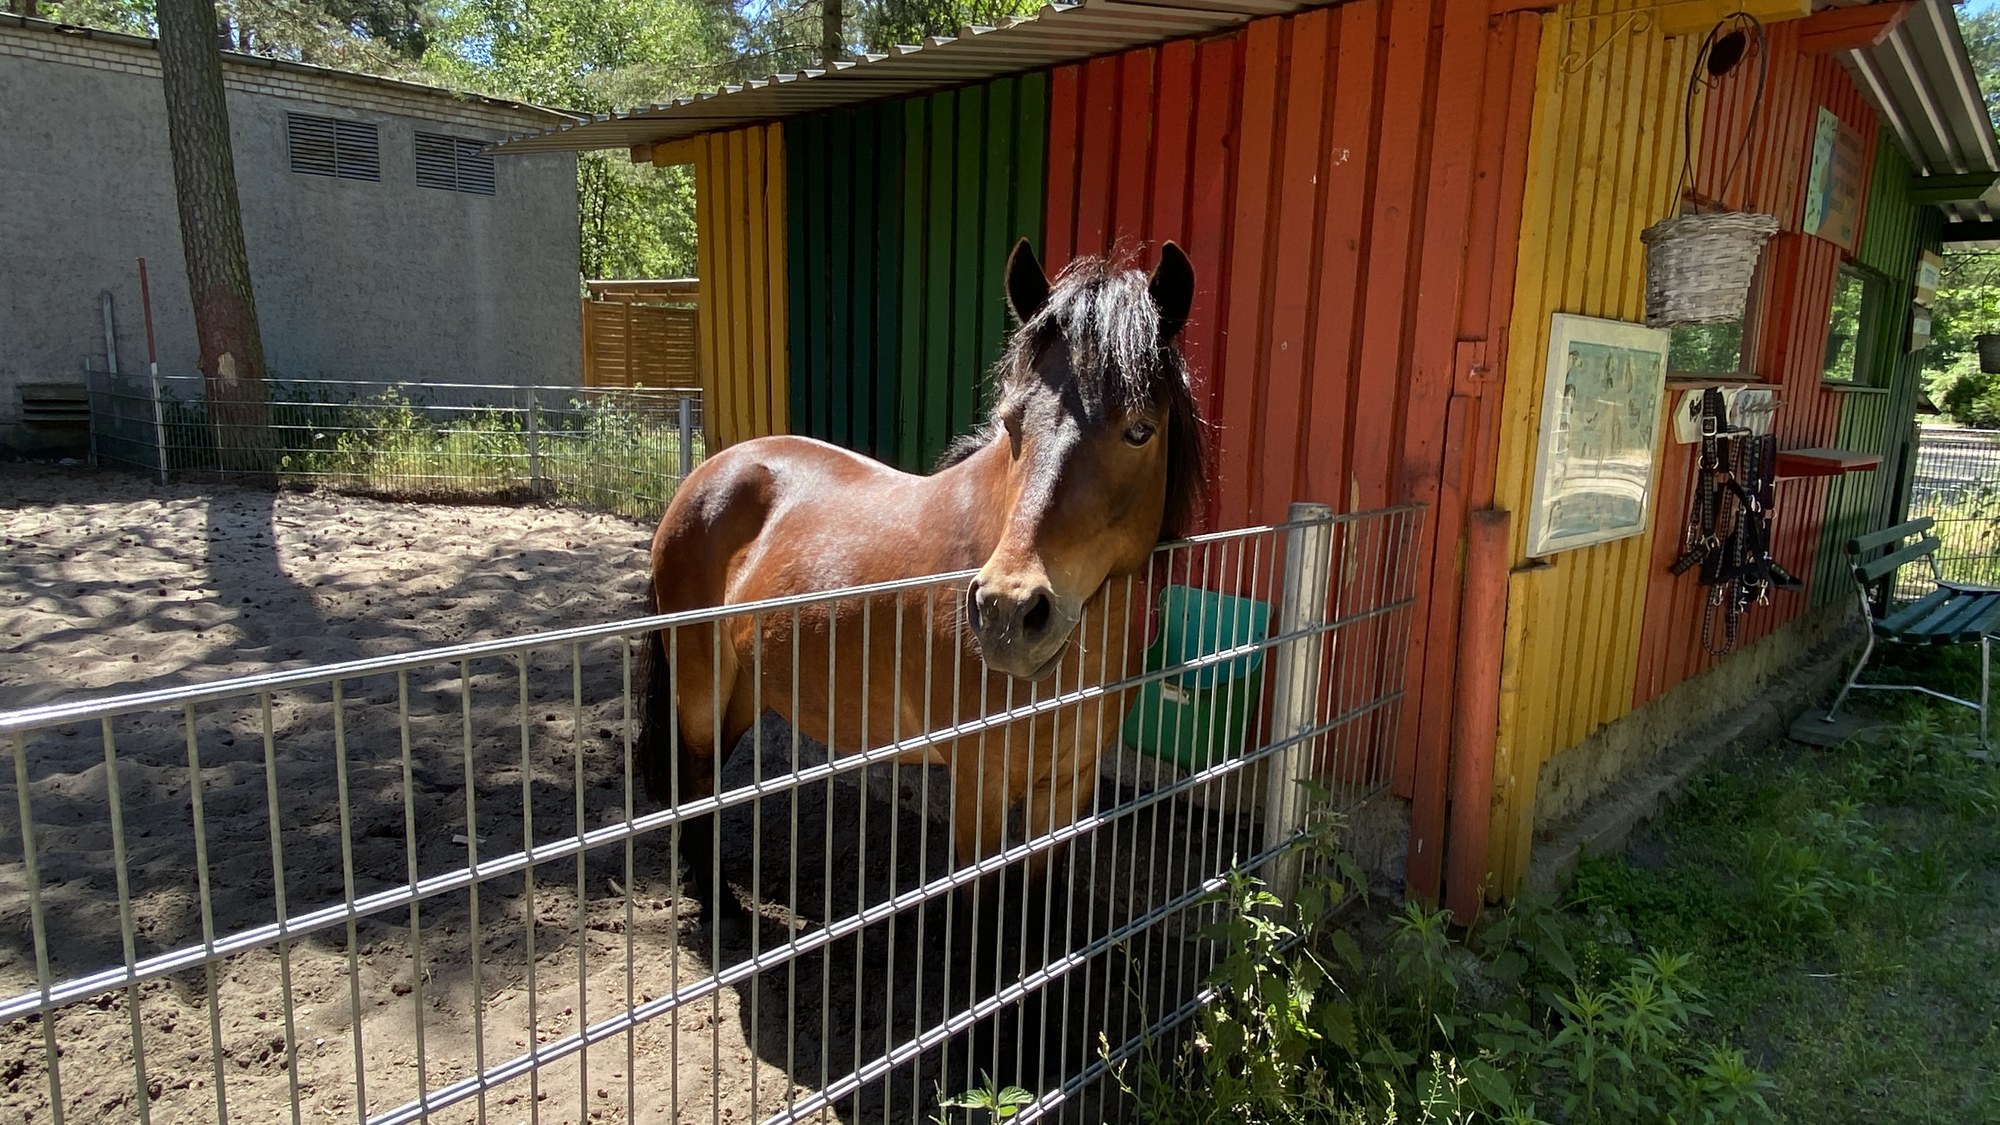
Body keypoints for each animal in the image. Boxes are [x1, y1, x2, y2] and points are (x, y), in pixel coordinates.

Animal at [636, 239, 1206, 952]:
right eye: (1011, 426)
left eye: (1139, 430)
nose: (1008, 613)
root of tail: (708, 474)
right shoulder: (978, 785)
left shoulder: (1066, 788)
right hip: (700, 682)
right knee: (694, 776)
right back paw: (719, 905)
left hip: (746, 684)